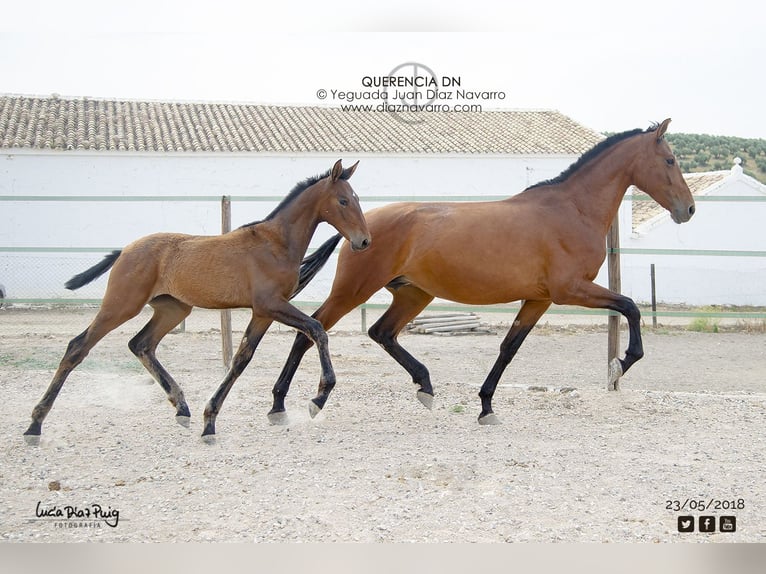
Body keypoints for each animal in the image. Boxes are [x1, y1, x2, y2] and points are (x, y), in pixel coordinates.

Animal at [23, 159, 371, 444]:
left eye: (357, 198)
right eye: (343, 200)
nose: (364, 241)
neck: (275, 243)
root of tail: (125, 250)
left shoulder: (263, 312)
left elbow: (241, 359)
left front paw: (211, 420)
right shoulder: (271, 305)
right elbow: (316, 329)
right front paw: (318, 398)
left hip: (173, 309)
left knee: (141, 344)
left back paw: (182, 407)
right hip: (121, 305)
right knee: (78, 347)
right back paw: (34, 424)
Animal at [267, 119, 695, 425]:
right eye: (670, 161)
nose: (688, 209)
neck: (572, 210)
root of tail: (359, 229)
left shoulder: (538, 299)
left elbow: (508, 348)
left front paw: (486, 406)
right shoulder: (571, 290)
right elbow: (632, 307)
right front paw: (618, 366)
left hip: (413, 293)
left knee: (381, 332)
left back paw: (425, 387)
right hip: (354, 290)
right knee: (311, 330)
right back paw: (292, 403)